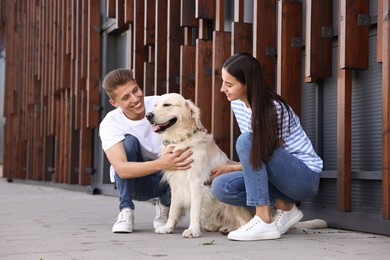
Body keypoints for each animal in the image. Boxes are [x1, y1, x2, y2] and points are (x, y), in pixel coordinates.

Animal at [146, 93, 253, 238]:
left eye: (167, 105)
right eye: (155, 105)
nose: (148, 115)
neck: (181, 139)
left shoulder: (196, 182)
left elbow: (194, 210)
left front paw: (192, 230)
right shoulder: (175, 183)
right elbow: (173, 208)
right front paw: (168, 227)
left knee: (244, 220)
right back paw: (217, 226)